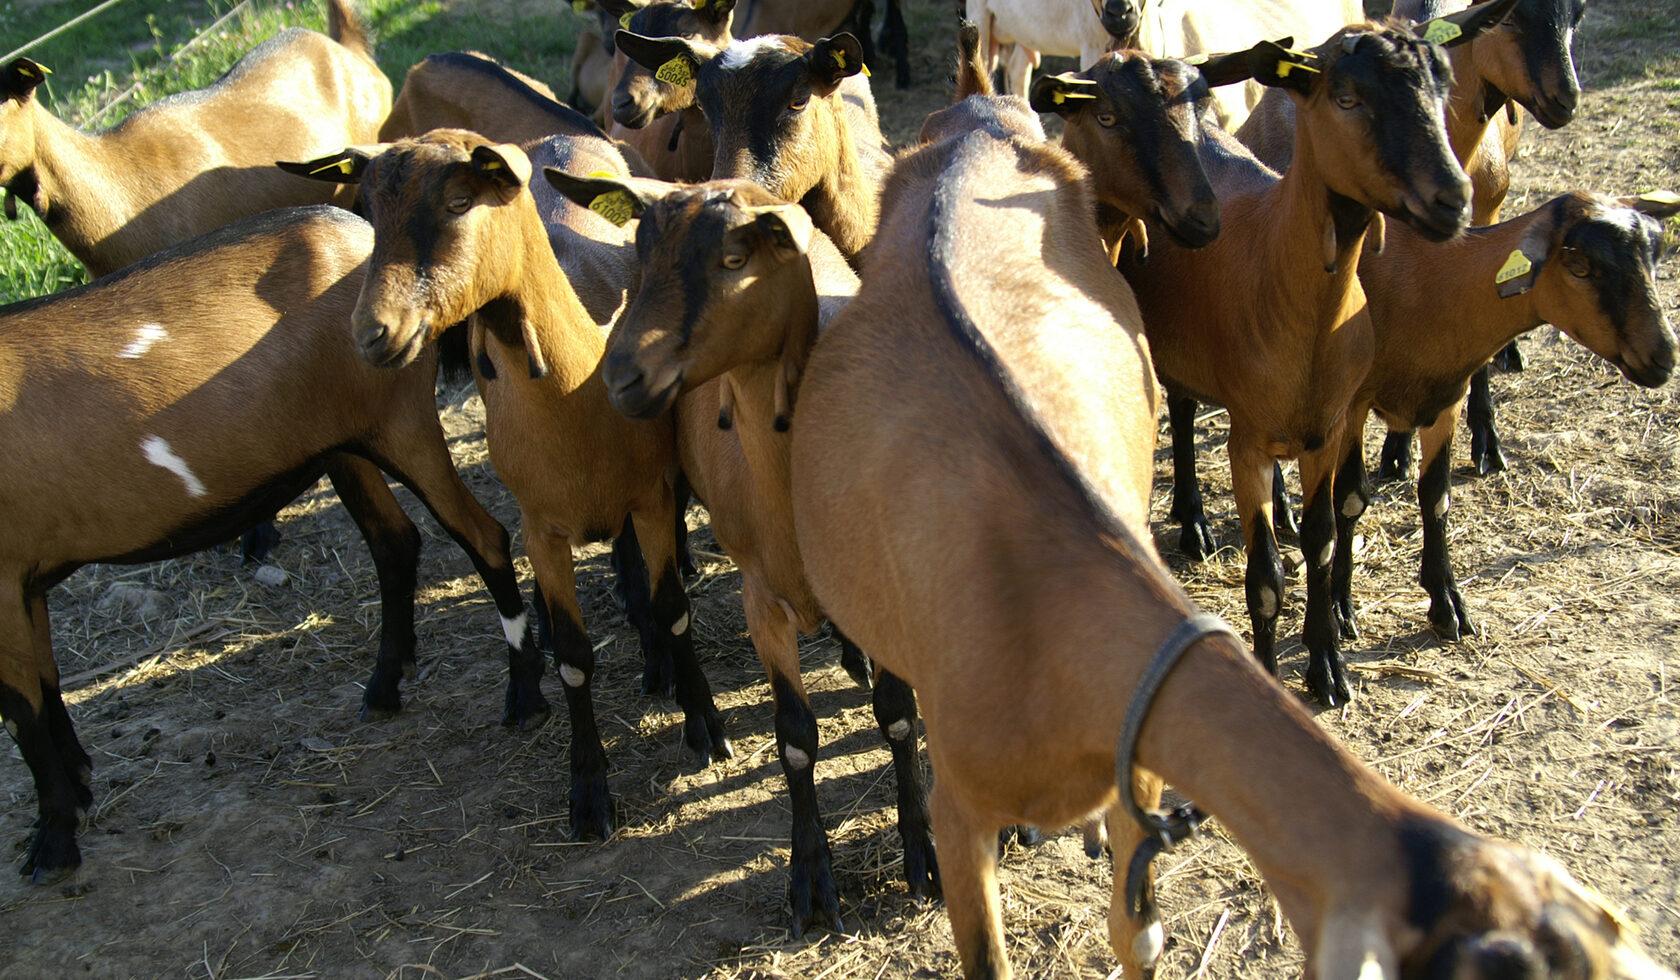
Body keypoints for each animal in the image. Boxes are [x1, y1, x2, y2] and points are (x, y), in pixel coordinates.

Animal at [0, 204, 545, 883]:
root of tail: (361, 234)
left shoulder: (2, 580)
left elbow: (22, 713)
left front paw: (52, 842)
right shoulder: (25, 580)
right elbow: (46, 686)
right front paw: (75, 789)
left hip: (400, 423)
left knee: (483, 537)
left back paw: (525, 694)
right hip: (342, 443)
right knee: (394, 542)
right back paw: (384, 687)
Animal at [283, 131, 732, 842]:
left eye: (459, 200)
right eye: (371, 213)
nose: (372, 334)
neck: (575, 383)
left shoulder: (653, 499)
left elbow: (673, 608)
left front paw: (705, 726)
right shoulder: (541, 529)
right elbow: (574, 655)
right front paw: (589, 794)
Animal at [1046, 6, 1520, 707]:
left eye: (1443, 87)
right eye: (1347, 97)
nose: (1453, 199)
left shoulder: (1330, 429)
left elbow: (1323, 545)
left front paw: (1328, 663)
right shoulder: (1245, 443)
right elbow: (1265, 577)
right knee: (1181, 414)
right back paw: (1193, 523)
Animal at [1328, 191, 1677, 642]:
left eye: (1656, 259)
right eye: (1580, 265)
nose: (1665, 357)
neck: (1426, 282)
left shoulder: (1446, 400)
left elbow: (1436, 496)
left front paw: (1447, 603)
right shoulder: (1350, 405)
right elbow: (1350, 499)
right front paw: (1338, 607)